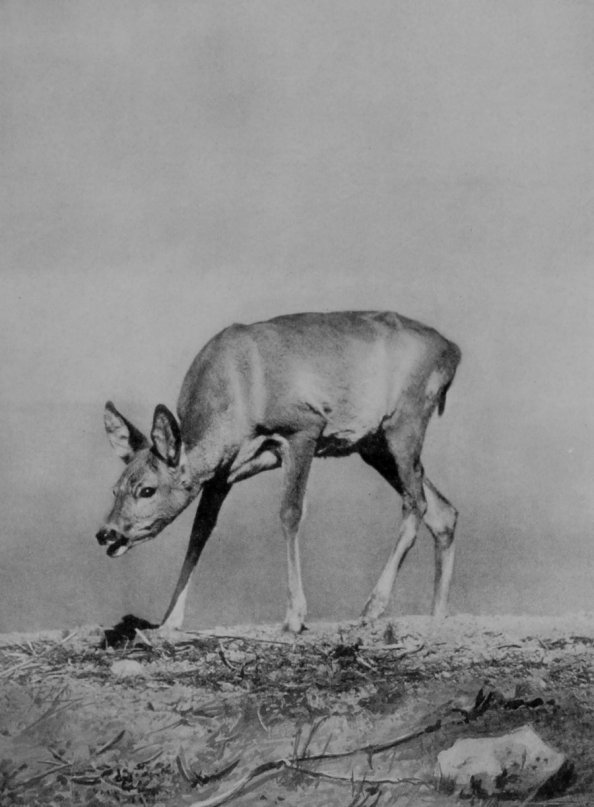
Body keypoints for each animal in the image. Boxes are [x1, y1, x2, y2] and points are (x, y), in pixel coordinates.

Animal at [96, 311, 461, 633]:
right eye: (115, 489)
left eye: (147, 489)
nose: (107, 533)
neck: (235, 395)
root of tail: (452, 351)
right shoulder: (222, 473)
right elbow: (200, 531)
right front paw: (169, 621)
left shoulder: (303, 428)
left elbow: (290, 513)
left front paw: (294, 617)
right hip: (374, 444)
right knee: (442, 510)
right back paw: (437, 617)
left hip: (405, 421)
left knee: (416, 503)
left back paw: (373, 607)